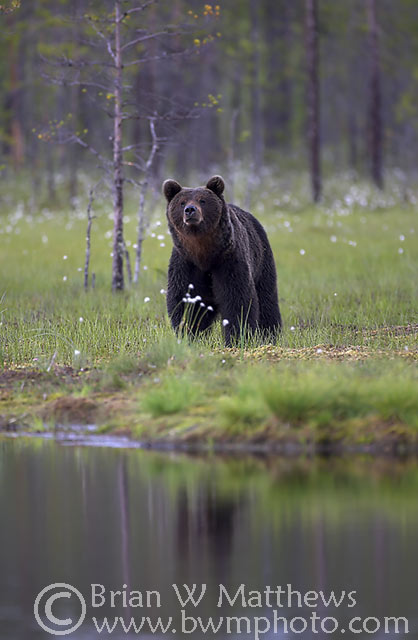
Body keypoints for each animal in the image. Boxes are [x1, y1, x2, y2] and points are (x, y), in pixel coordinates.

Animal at [163, 175, 281, 346]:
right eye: (182, 202)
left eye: (202, 200)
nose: (190, 210)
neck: (204, 254)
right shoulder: (186, 263)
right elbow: (185, 300)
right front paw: (187, 334)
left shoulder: (229, 260)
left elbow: (237, 299)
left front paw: (237, 339)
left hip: (262, 260)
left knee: (267, 300)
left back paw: (270, 334)